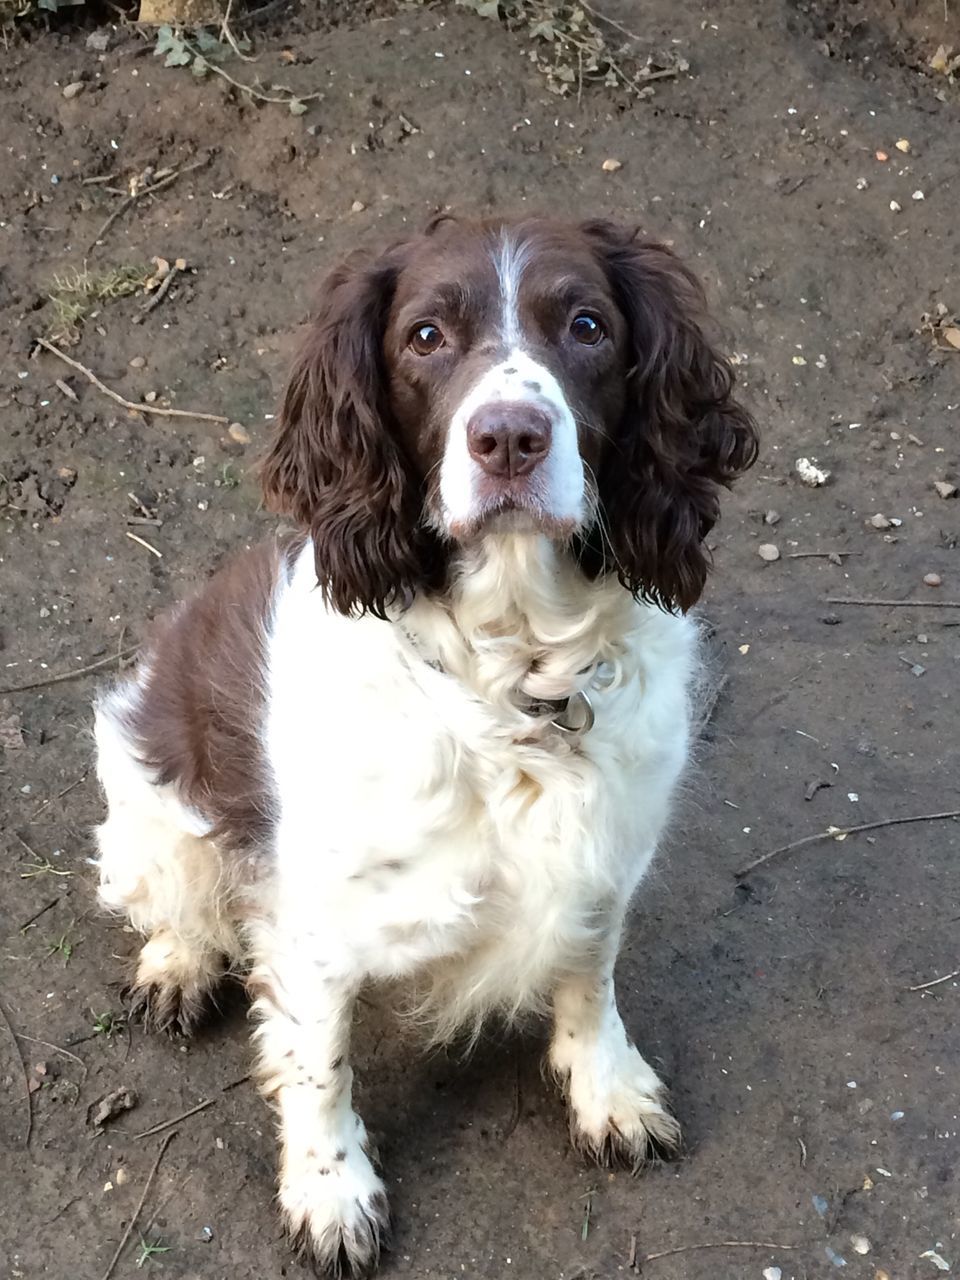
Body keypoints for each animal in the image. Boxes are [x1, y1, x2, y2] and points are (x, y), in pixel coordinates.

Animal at [94, 215, 762, 1274]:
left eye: (587, 324)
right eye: (424, 337)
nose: (511, 439)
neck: (515, 676)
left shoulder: (605, 857)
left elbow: (590, 978)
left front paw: (607, 1089)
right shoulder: (317, 927)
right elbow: (319, 1064)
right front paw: (331, 1192)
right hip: (144, 787)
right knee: (175, 894)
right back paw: (179, 963)